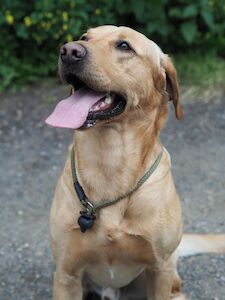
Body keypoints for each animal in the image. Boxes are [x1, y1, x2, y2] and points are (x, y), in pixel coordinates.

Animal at [45, 25, 225, 300]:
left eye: (124, 46)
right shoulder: (66, 274)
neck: (110, 160)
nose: (68, 51)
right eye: (85, 37)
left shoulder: (159, 270)